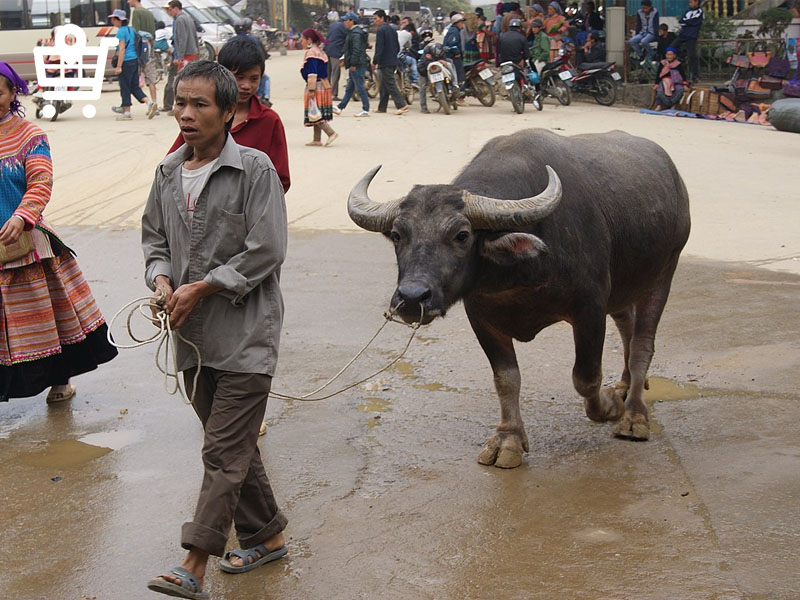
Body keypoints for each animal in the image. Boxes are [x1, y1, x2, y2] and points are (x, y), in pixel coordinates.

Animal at [346, 130, 692, 468]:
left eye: (462, 235)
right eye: (397, 235)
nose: (411, 297)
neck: (518, 271)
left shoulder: (590, 308)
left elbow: (586, 378)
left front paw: (608, 409)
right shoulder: (481, 316)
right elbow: (506, 379)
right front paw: (508, 441)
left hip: (664, 272)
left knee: (642, 345)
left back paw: (633, 415)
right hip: (624, 289)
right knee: (626, 326)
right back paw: (625, 385)